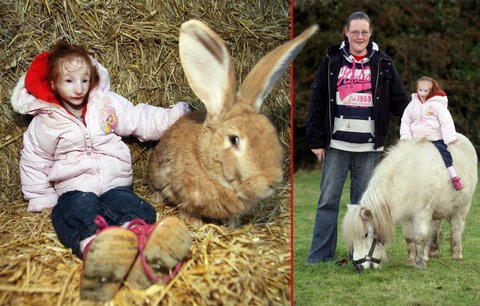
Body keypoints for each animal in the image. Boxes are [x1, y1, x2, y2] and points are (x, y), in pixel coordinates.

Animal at [342, 134, 476, 270]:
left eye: (365, 234)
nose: (358, 266)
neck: (410, 177)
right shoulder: (406, 216)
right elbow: (409, 238)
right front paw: (411, 260)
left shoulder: (422, 213)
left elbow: (420, 236)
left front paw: (420, 264)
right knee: (435, 227)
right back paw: (431, 252)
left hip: (463, 206)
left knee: (456, 228)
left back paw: (456, 255)